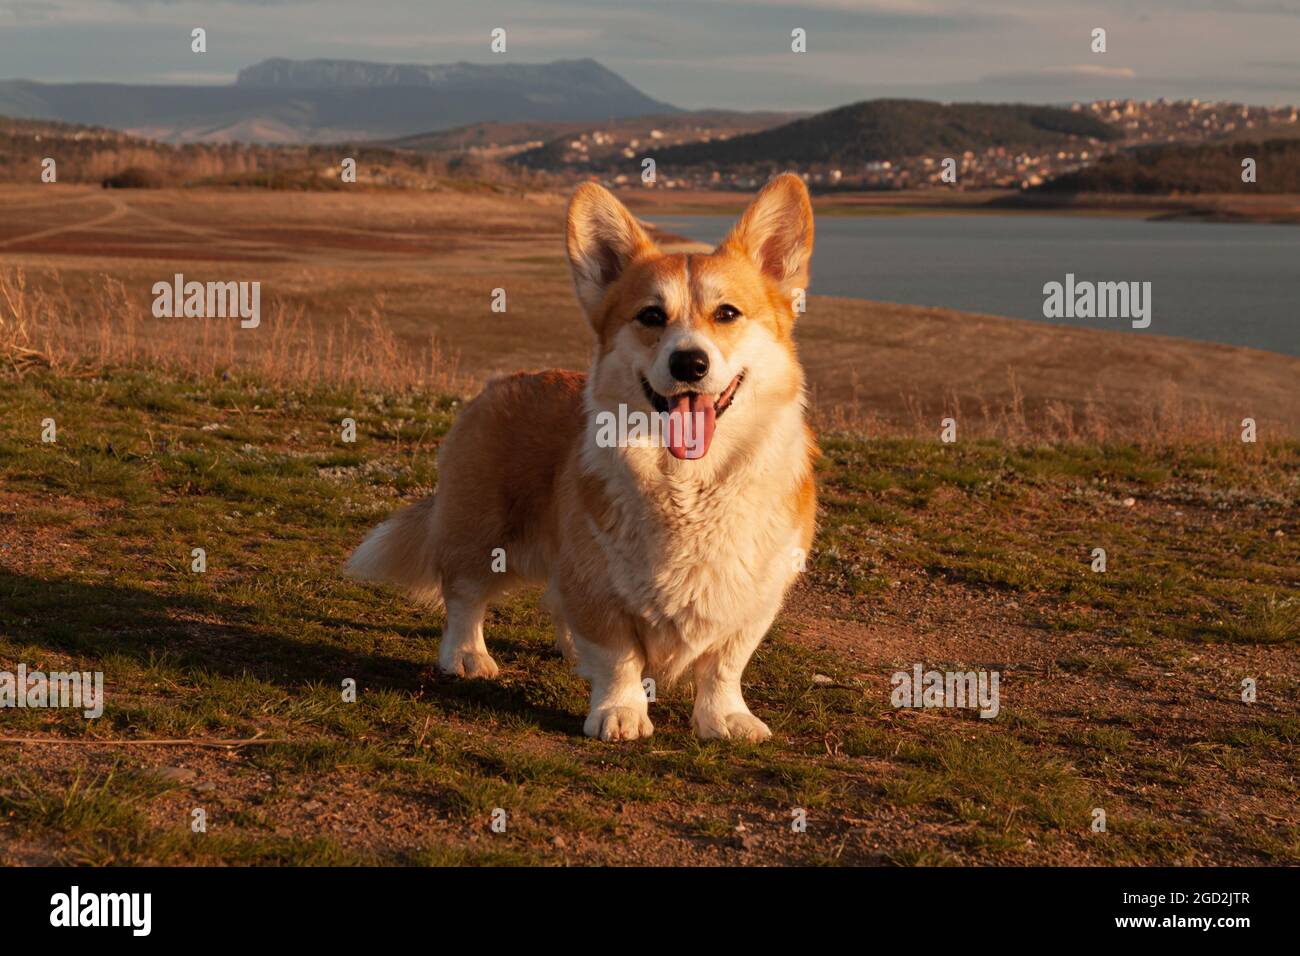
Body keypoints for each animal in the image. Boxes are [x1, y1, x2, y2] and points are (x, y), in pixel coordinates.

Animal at [345, 175, 811, 743]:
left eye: (727, 314)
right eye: (651, 316)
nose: (689, 363)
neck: (688, 483)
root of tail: (501, 382)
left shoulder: (754, 599)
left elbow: (724, 663)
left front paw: (725, 718)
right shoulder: (597, 582)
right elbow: (618, 656)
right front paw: (620, 712)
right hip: (481, 533)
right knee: (464, 595)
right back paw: (467, 656)